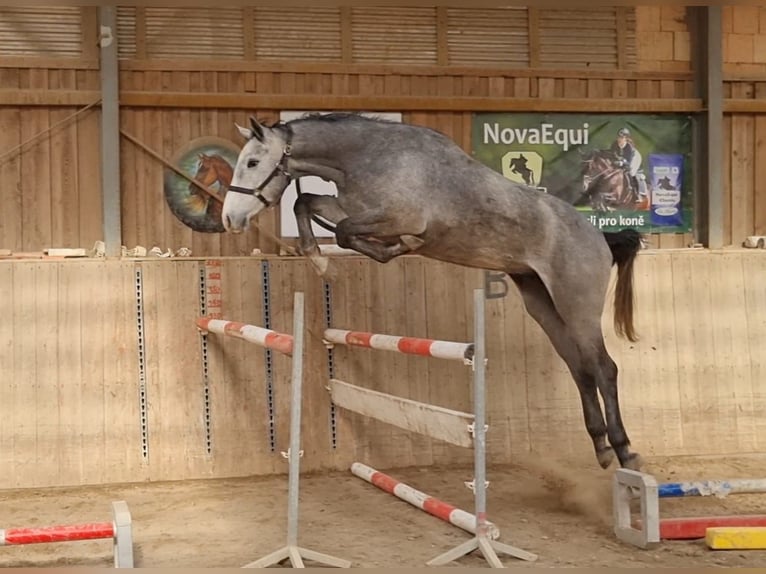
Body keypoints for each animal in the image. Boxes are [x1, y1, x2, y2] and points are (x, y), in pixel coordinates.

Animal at [224, 112, 648, 472]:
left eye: (252, 163)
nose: (230, 219)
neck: (368, 157)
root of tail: (600, 237)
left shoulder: (395, 217)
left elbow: (344, 231)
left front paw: (392, 249)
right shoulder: (350, 208)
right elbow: (306, 203)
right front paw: (318, 260)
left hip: (577, 305)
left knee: (604, 368)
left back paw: (625, 450)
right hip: (542, 304)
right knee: (580, 368)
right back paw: (601, 448)